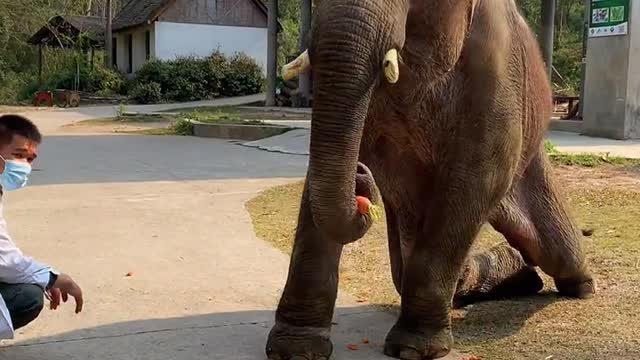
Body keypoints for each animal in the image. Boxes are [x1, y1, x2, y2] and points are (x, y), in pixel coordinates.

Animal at [266, 0, 596, 360]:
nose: (361, 177)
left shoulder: (495, 68)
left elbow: (480, 175)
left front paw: (414, 349)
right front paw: (294, 349)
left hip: (532, 158)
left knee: (558, 251)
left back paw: (581, 286)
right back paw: (524, 276)